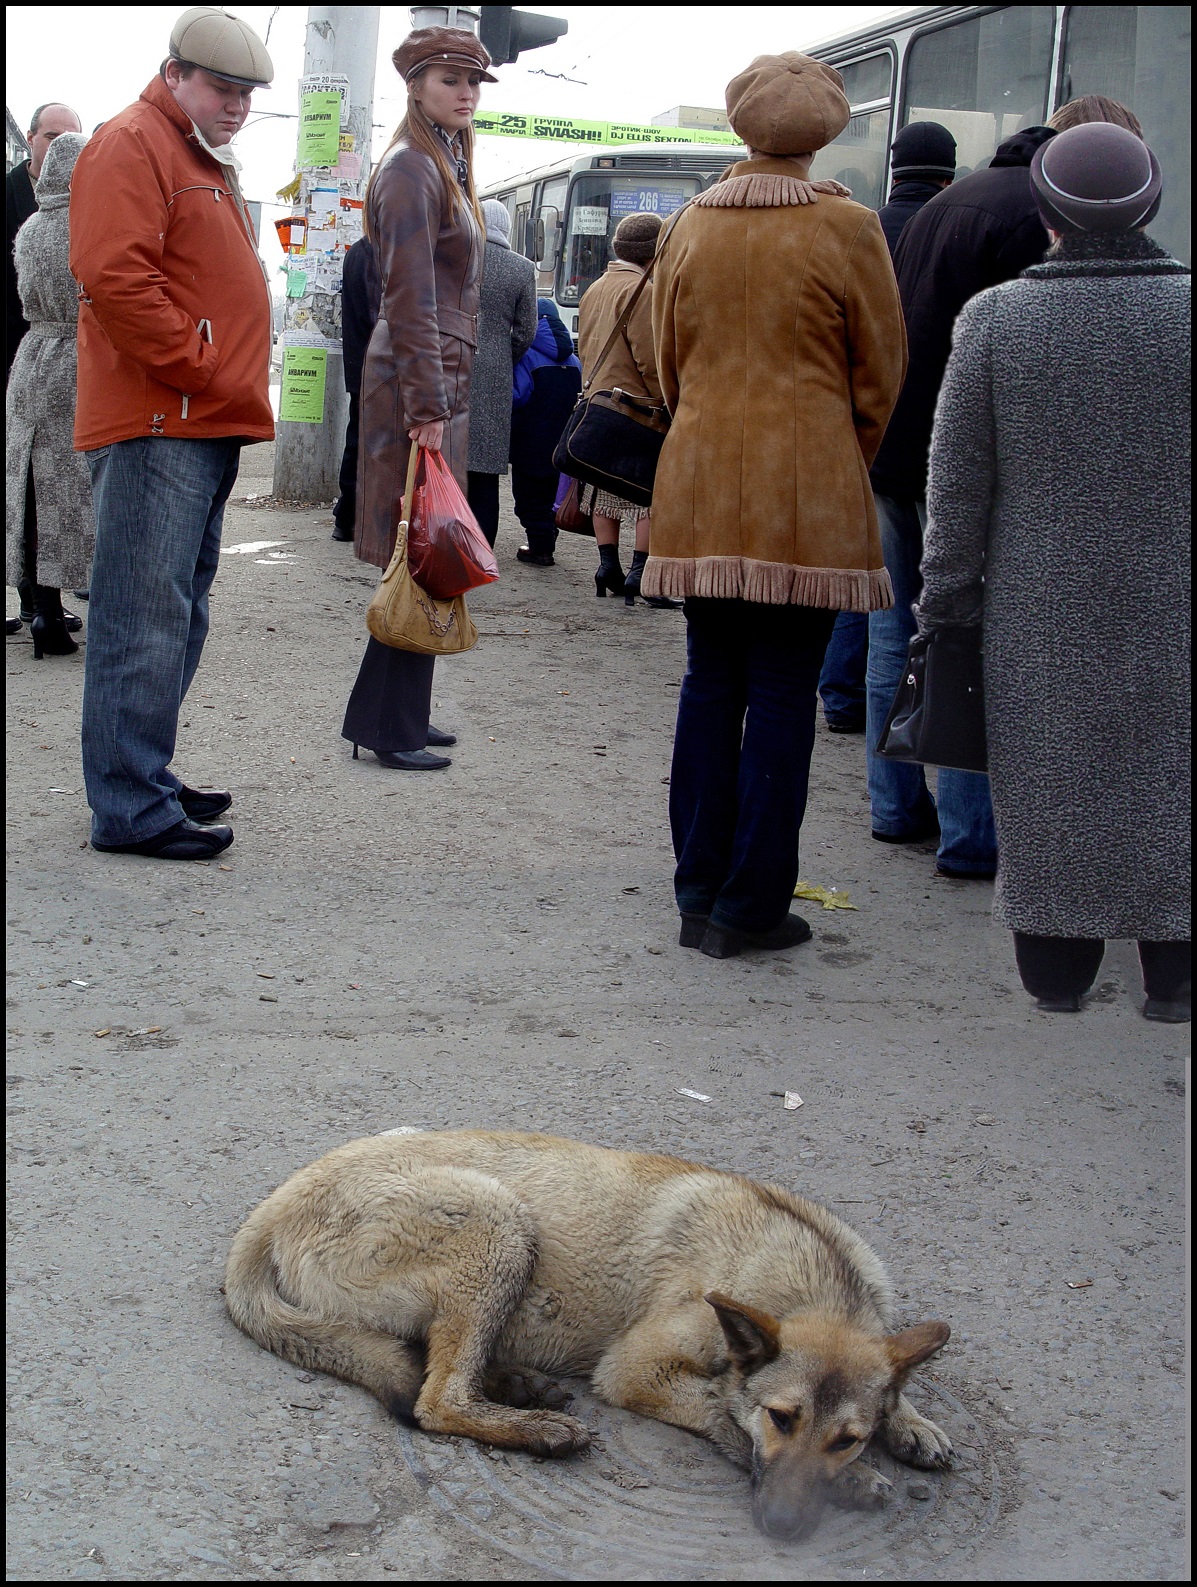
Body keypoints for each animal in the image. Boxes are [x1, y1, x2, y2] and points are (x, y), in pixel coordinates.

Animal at [225, 1129, 952, 1536]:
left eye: (845, 1439)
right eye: (780, 1419)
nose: (784, 1528)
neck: (806, 1271)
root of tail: (279, 1202)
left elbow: (895, 1379)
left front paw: (910, 1424)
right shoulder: (634, 1368)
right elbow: (720, 1407)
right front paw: (854, 1483)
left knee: (433, 1361)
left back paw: (517, 1386)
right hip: (500, 1224)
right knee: (436, 1399)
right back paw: (536, 1428)